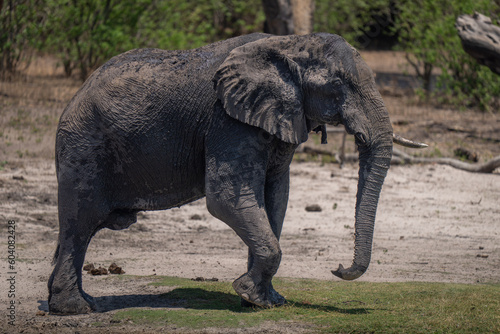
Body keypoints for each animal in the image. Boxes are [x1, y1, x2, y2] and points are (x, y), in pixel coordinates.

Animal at [47, 32, 426, 314]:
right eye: (337, 84)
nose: (337, 268)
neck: (290, 45)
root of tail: (76, 94)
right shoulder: (227, 120)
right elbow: (227, 199)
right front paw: (248, 293)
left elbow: (275, 199)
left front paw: (265, 301)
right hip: (84, 148)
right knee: (80, 223)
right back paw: (76, 309)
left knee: (78, 229)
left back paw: (73, 303)